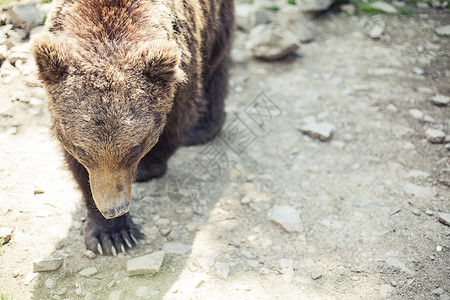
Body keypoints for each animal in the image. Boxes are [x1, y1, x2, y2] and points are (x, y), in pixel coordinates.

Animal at [31, 0, 234, 255]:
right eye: (82, 150)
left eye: (135, 148)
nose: (114, 208)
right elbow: (80, 171)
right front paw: (112, 234)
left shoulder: (182, 67)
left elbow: (175, 124)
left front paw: (146, 168)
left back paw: (203, 127)